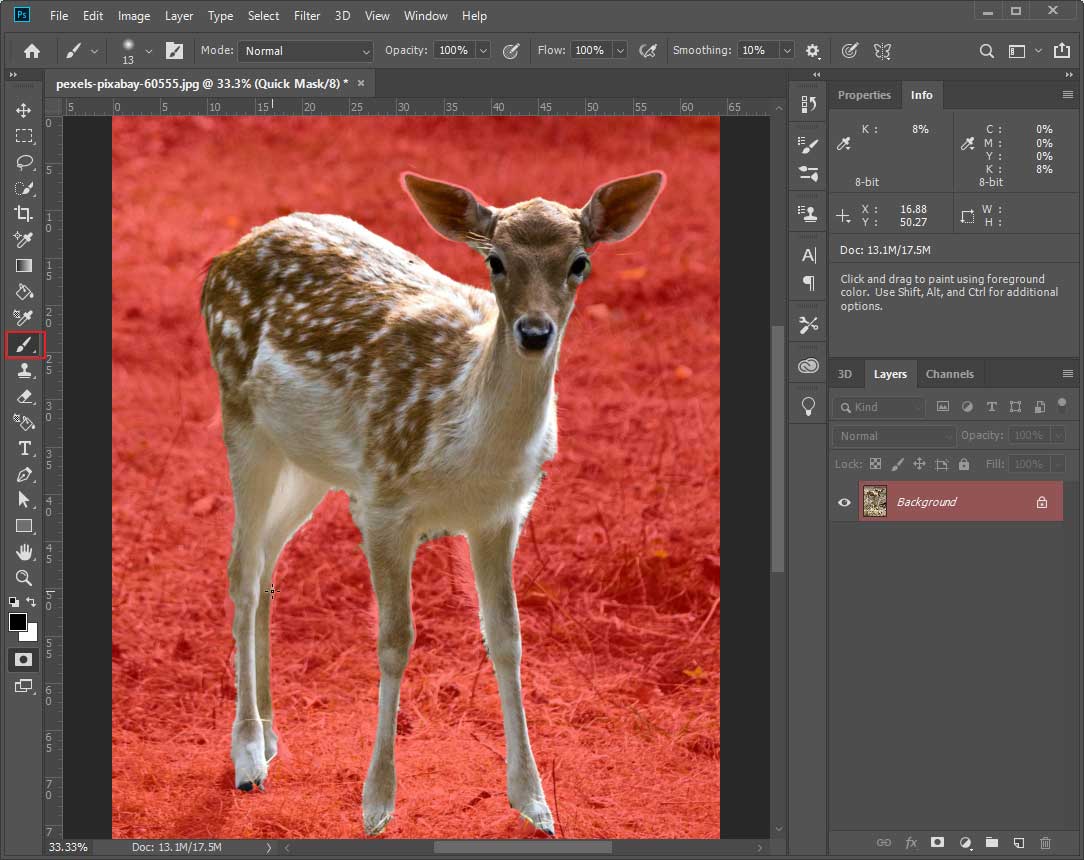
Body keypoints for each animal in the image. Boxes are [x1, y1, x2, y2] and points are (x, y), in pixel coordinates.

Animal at [200, 170, 665, 835]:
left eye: (580, 262)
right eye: (495, 260)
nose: (534, 332)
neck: (466, 448)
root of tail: (225, 258)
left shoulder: (502, 513)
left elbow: (507, 635)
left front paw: (535, 802)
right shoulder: (382, 501)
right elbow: (395, 640)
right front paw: (376, 803)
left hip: (310, 463)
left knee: (266, 563)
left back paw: (269, 735)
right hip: (241, 416)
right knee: (240, 569)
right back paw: (246, 758)